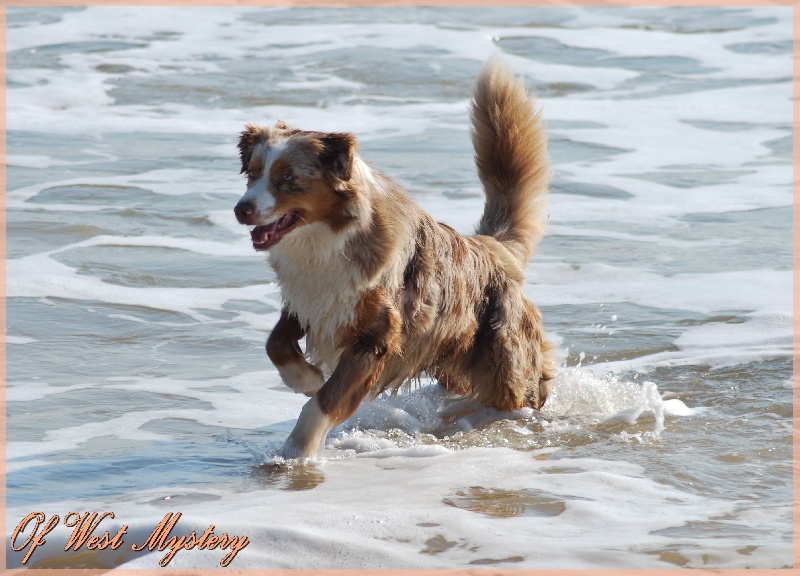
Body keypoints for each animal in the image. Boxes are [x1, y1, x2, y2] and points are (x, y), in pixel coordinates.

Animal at [234, 58, 552, 460]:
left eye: (288, 177)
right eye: (253, 173)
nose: (241, 209)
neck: (328, 239)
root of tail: (489, 247)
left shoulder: (374, 339)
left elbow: (325, 401)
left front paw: (296, 452)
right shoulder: (311, 301)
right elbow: (275, 344)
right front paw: (306, 379)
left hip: (505, 363)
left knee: (523, 392)